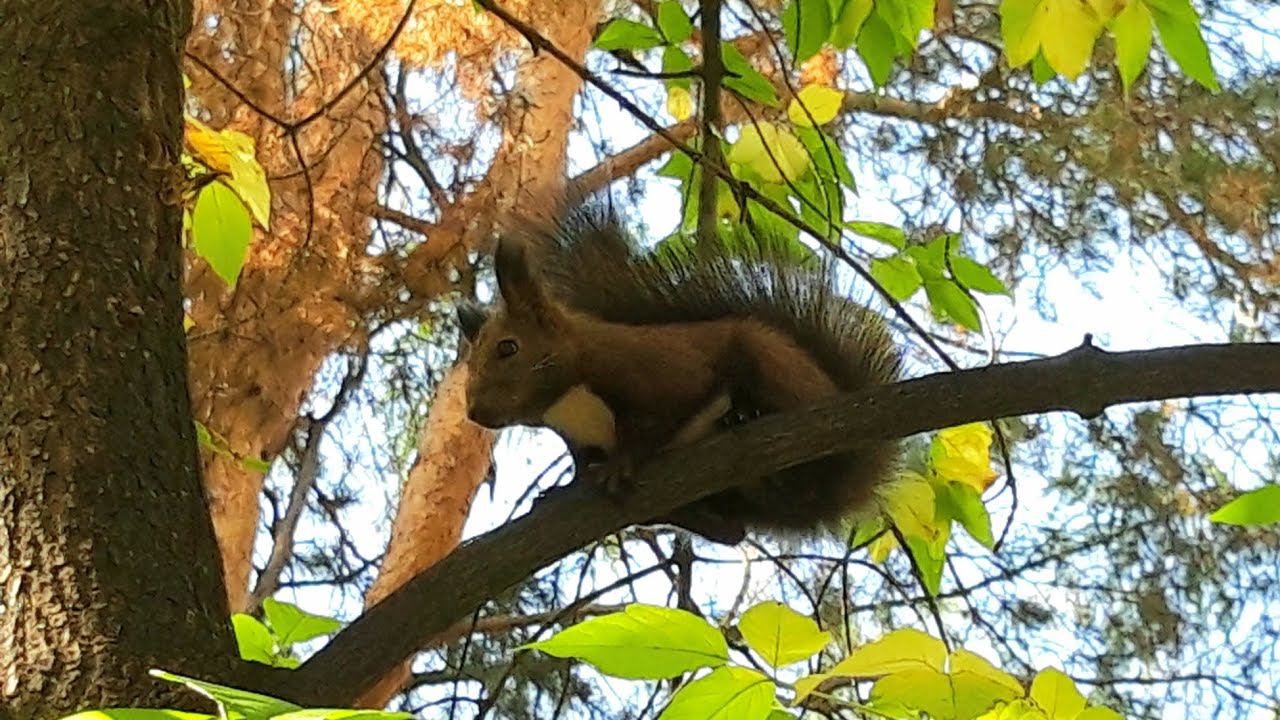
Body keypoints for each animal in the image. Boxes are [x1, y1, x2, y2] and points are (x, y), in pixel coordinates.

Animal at [455, 198, 906, 540]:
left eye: (508, 348)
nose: (475, 412)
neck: (569, 400)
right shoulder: (580, 441)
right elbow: (582, 466)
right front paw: (563, 489)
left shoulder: (658, 375)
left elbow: (660, 419)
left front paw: (621, 464)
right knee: (732, 532)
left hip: (771, 362)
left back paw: (747, 415)